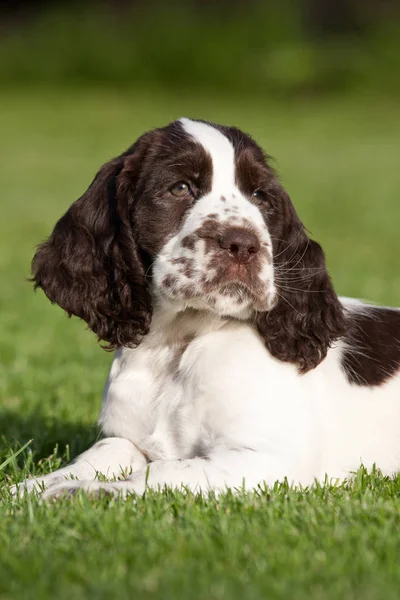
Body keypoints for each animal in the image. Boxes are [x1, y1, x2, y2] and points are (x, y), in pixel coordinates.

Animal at [10, 116, 400, 496]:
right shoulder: (128, 436)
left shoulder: (271, 460)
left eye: (260, 196)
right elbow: (104, 451)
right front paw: (30, 488)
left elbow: (162, 470)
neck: (178, 344)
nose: (243, 244)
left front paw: (85, 491)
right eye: (180, 188)